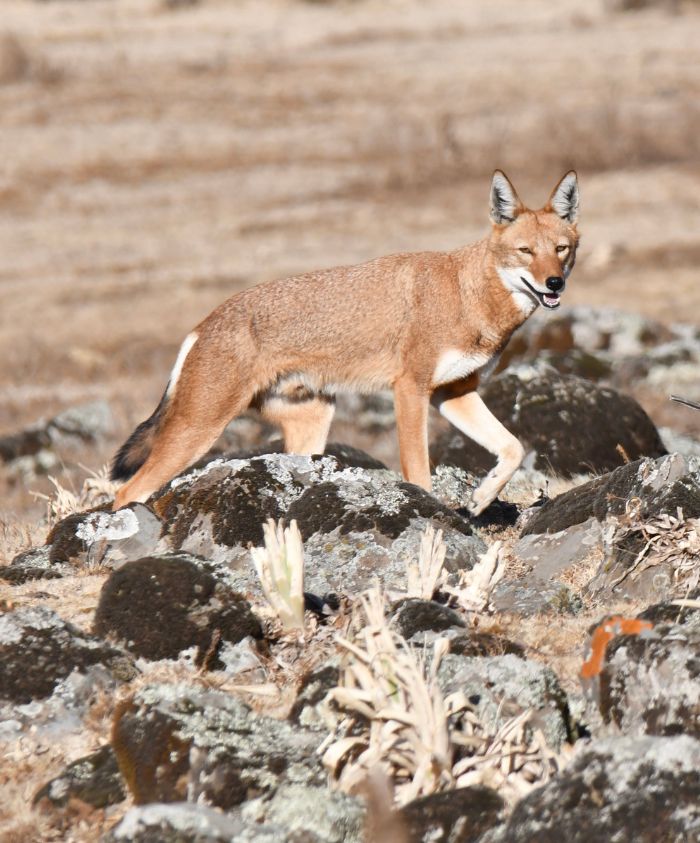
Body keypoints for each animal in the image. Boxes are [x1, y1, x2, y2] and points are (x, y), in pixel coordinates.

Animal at [111, 170, 579, 514]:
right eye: (525, 251)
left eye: (561, 249)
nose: (554, 284)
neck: (467, 294)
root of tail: (202, 325)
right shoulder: (410, 390)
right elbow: (419, 472)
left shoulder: (452, 394)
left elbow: (513, 448)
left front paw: (481, 499)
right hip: (197, 432)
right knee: (126, 492)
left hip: (314, 426)